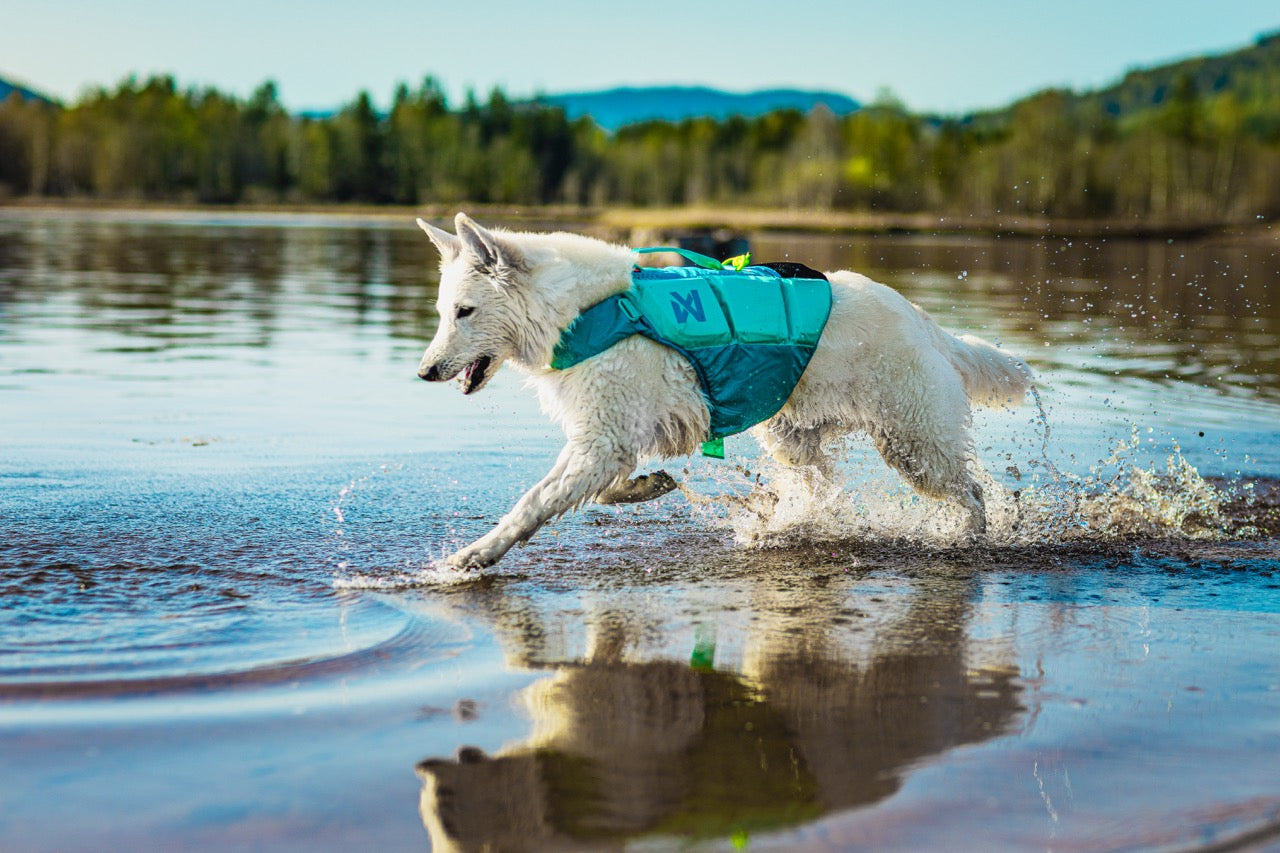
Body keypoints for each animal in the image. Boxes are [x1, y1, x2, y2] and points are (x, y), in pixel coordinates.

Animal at [414, 212, 1034, 568]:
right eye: (444, 312)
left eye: (464, 312)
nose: (423, 372)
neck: (580, 310)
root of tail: (924, 320)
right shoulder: (608, 439)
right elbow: (602, 489)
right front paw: (646, 486)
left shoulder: (604, 438)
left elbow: (533, 502)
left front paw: (473, 555)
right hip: (794, 438)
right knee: (821, 492)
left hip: (913, 446)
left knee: (973, 495)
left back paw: (969, 541)